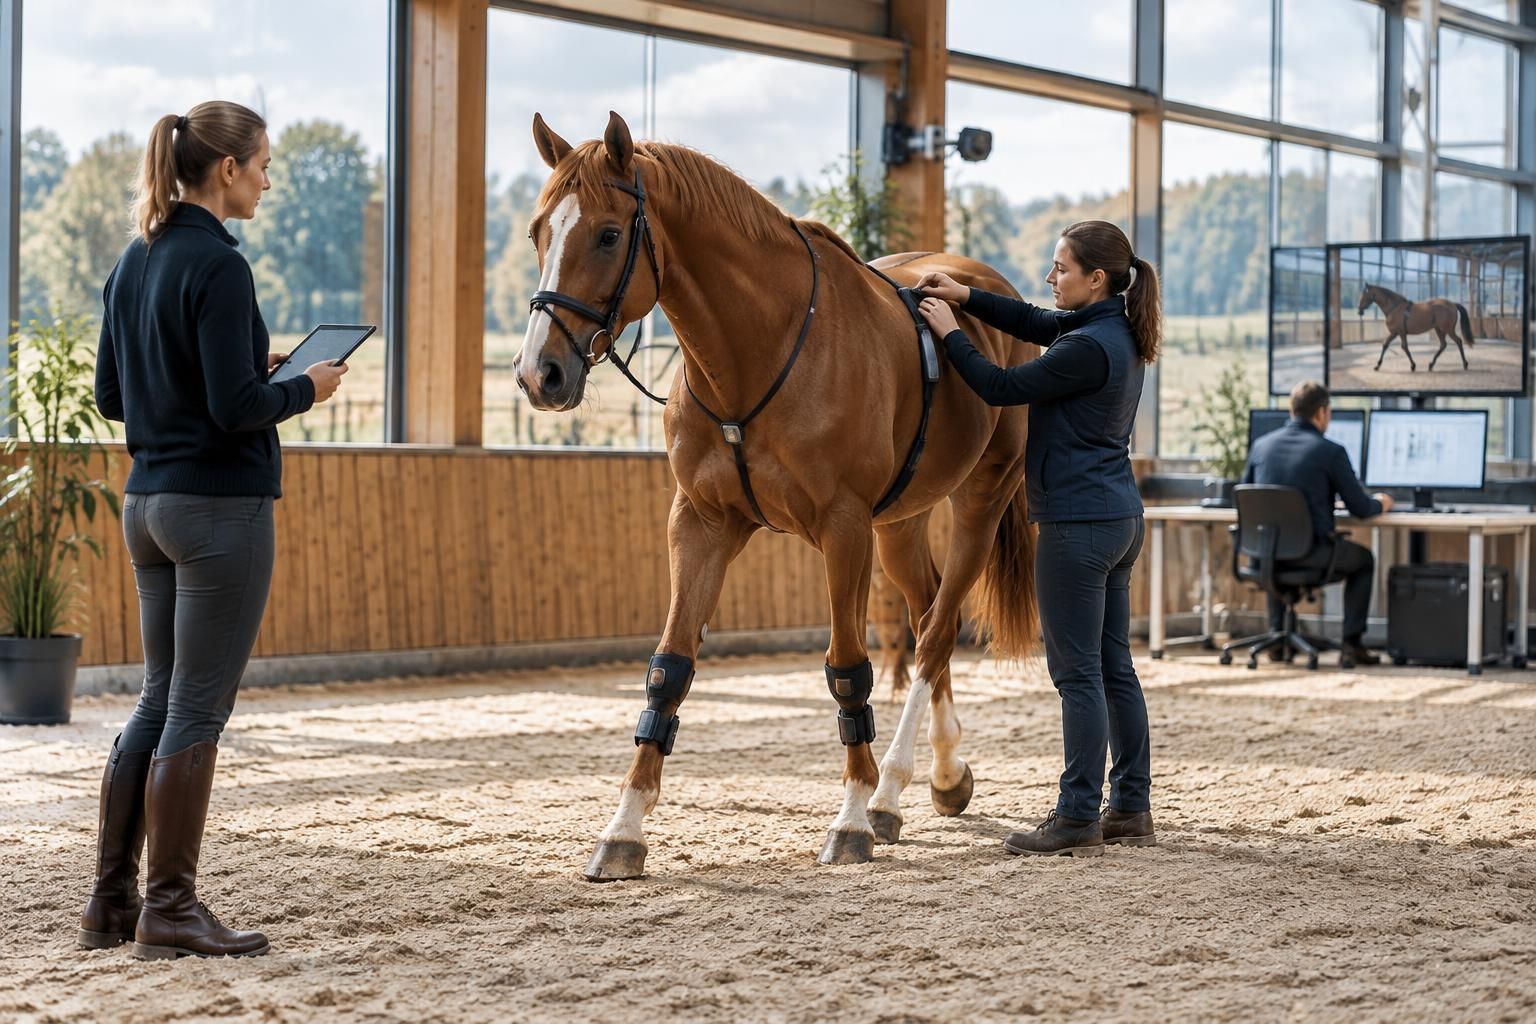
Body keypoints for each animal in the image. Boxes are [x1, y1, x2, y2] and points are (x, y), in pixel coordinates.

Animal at [515, 111, 1040, 880]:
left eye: (609, 234)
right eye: (538, 233)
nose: (539, 373)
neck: (756, 350)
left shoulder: (844, 530)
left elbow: (847, 671)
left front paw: (849, 819)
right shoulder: (700, 525)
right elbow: (669, 671)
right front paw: (624, 831)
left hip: (980, 499)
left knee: (939, 632)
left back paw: (888, 792)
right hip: (900, 524)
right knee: (926, 613)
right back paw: (936, 780)